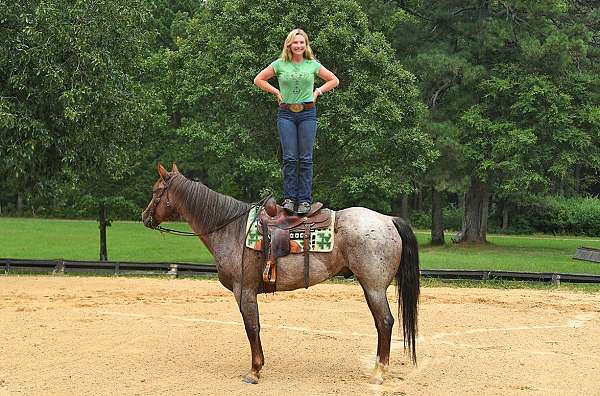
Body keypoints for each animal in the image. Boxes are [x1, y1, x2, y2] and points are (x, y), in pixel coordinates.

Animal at [142, 163, 420, 384]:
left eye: (156, 191)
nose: (144, 217)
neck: (231, 228)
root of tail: (388, 220)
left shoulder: (244, 290)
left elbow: (252, 327)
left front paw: (254, 371)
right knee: (380, 324)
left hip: (374, 287)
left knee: (385, 322)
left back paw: (379, 373)